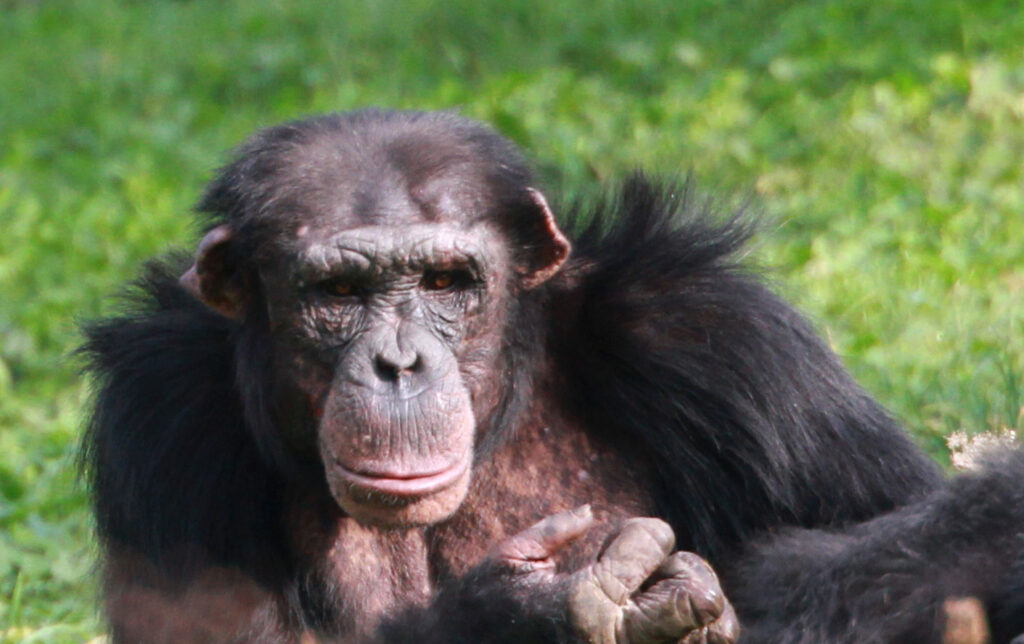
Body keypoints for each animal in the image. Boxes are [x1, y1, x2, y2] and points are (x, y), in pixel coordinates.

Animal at [81, 108, 1024, 638]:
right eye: (338, 293)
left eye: (446, 283)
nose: (397, 364)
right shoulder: (160, 409)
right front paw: (535, 606)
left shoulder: (720, 337)